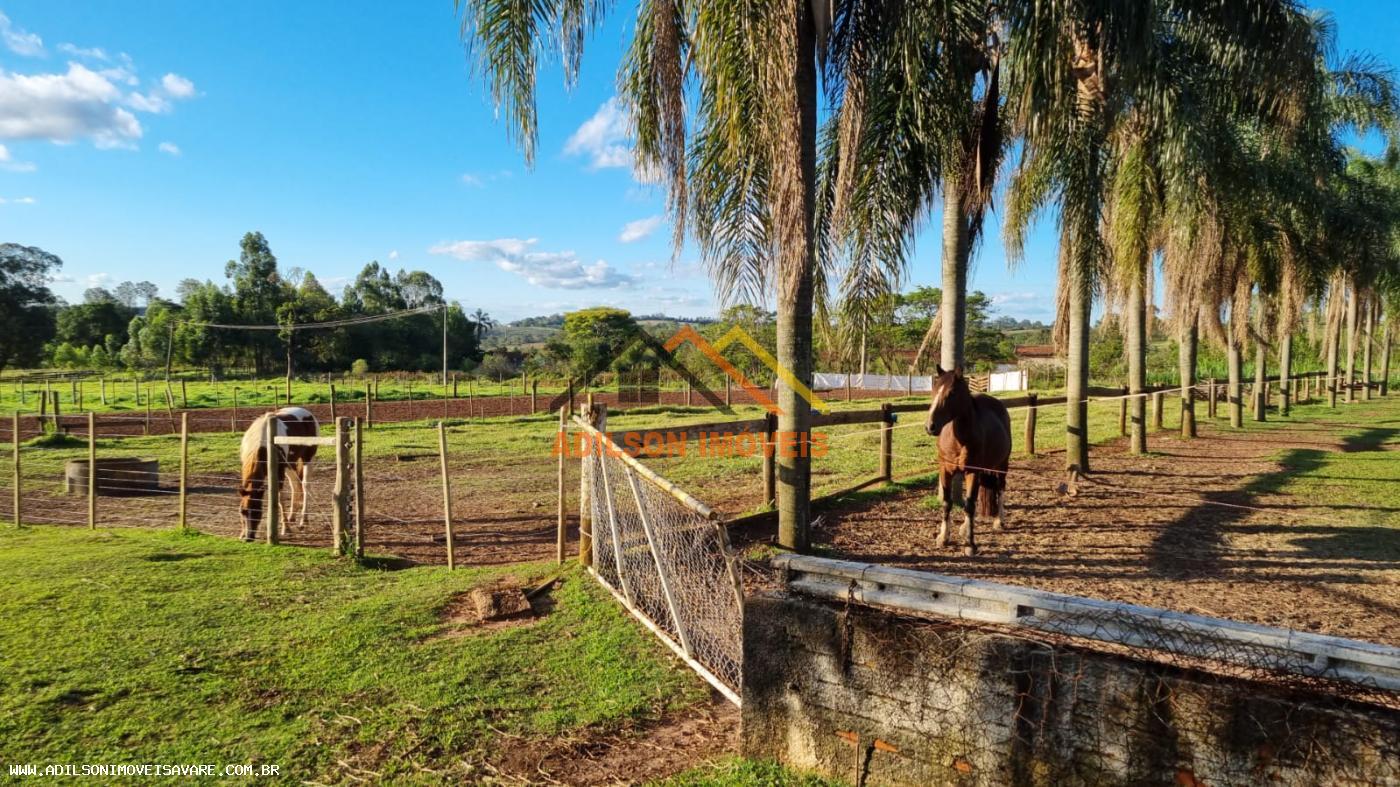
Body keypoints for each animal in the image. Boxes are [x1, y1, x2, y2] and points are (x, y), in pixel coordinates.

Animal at [240, 403, 320, 537]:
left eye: (257, 512)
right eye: (243, 511)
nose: (248, 537)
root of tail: (309, 414)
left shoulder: (279, 471)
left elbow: (279, 499)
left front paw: (286, 528)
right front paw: (241, 533)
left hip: (307, 458)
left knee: (305, 485)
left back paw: (303, 521)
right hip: (290, 464)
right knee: (295, 484)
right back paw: (292, 516)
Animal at [924, 366, 1013, 554]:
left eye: (951, 393)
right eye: (934, 390)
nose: (930, 426)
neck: (958, 439)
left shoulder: (973, 471)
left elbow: (970, 505)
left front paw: (970, 544)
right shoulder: (945, 470)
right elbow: (947, 502)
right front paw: (943, 538)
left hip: (1001, 465)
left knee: (1000, 489)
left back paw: (998, 521)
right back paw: (964, 528)